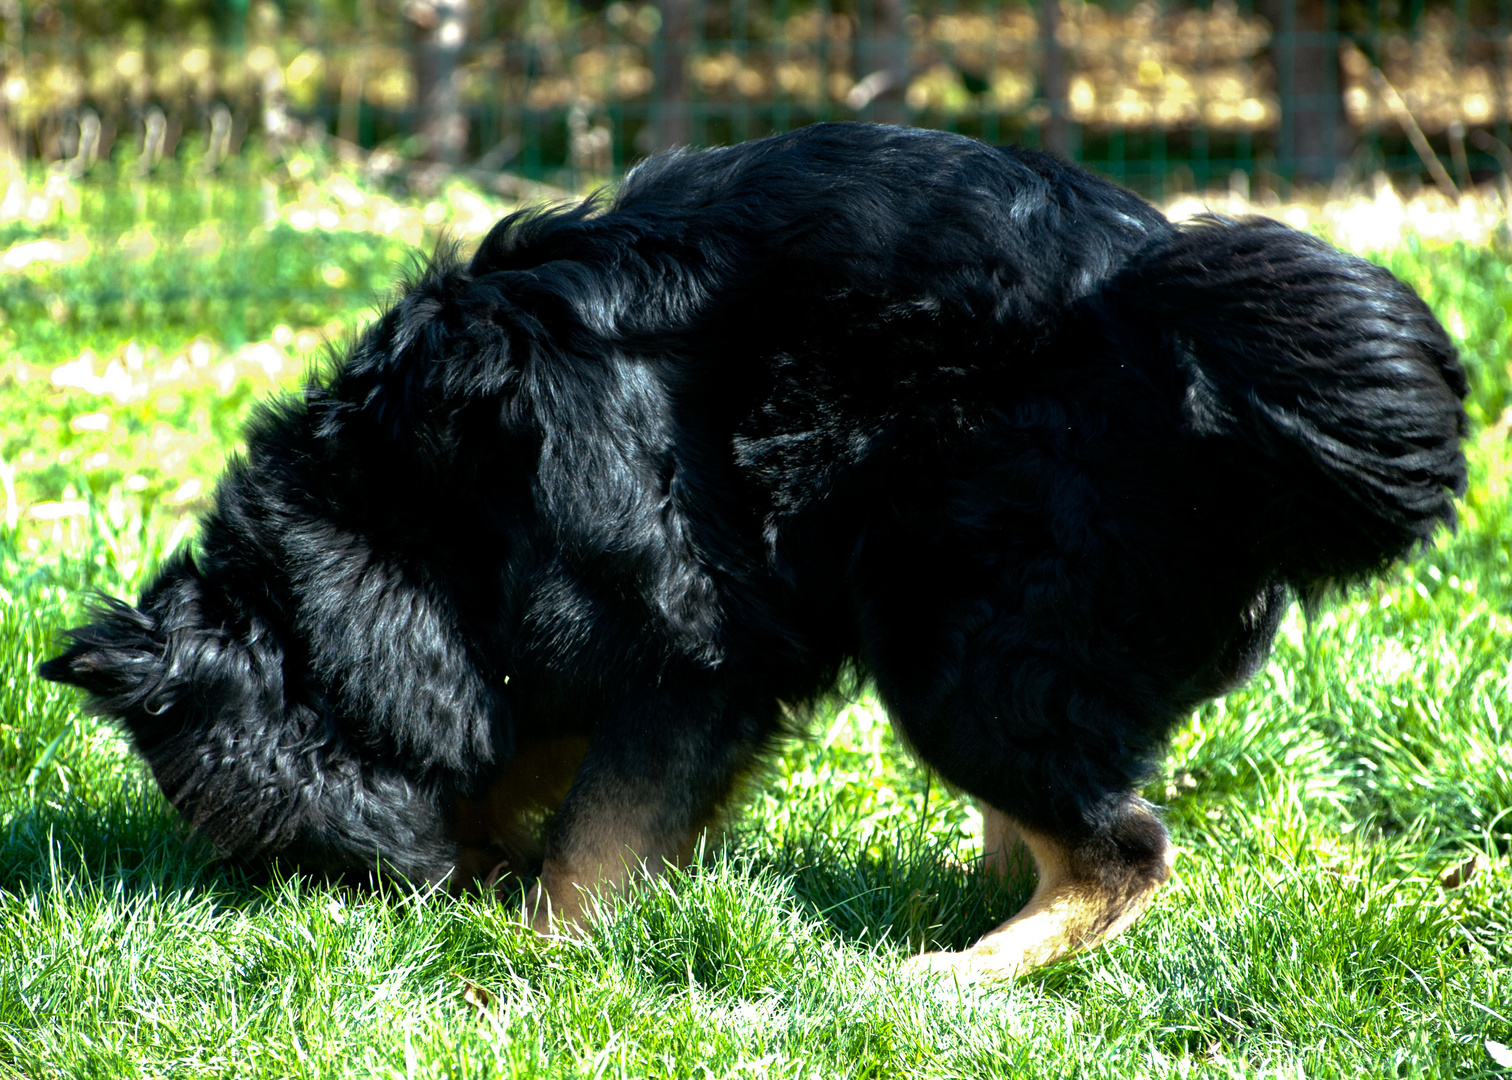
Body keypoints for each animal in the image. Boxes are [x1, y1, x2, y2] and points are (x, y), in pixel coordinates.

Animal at [44, 121, 1463, 974]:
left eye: (293, 854)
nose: (359, 921)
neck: (397, 532)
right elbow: (555, 765)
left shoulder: (690, 633)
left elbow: (595, 832)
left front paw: (533, 963)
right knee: (1064, 814)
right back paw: (965, 910)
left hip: (948, 622)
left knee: (1123, 848)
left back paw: (959, 974)